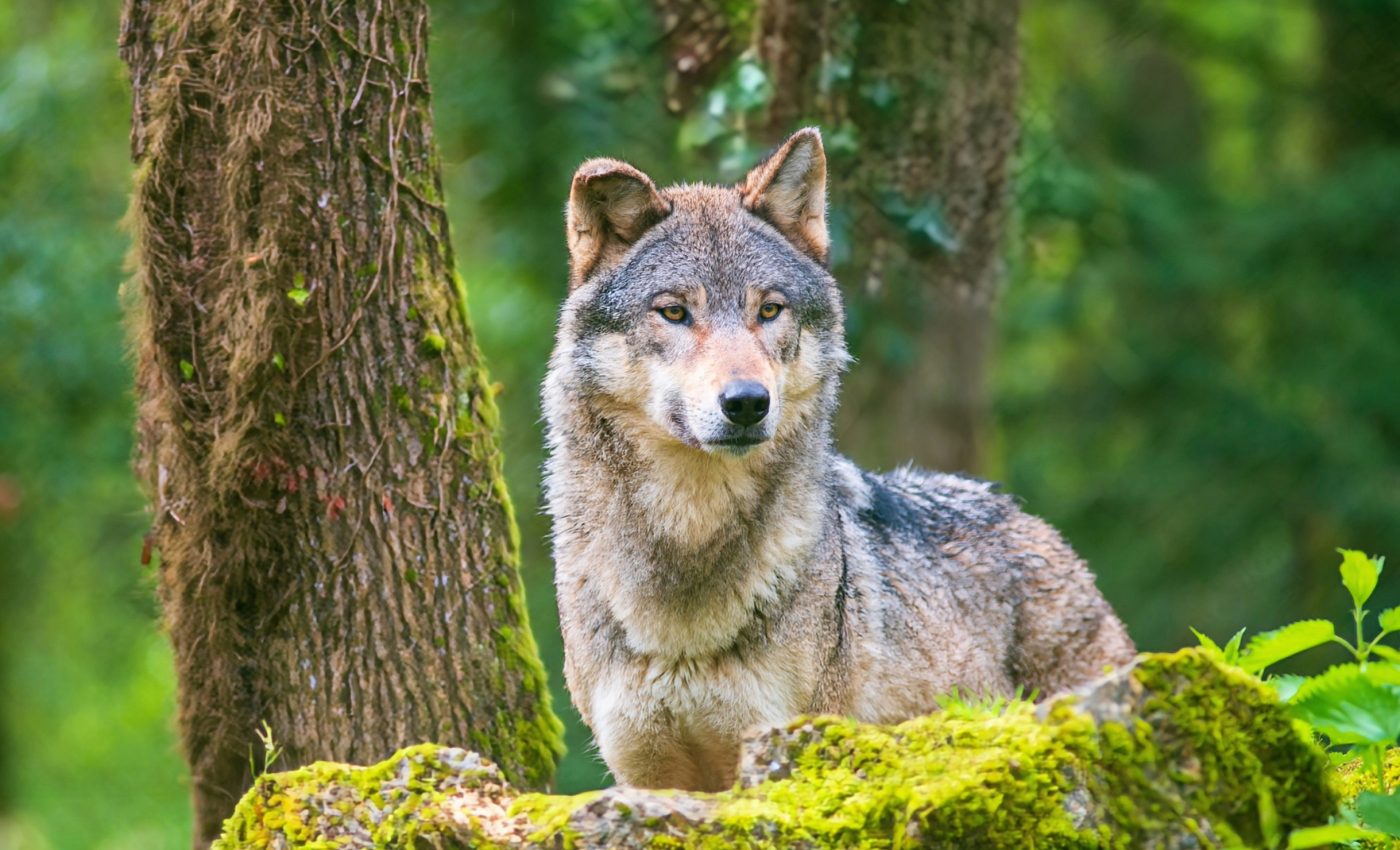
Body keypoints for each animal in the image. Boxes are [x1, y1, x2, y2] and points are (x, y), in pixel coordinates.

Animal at [542, 128, 1135, 792]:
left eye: (769, 310)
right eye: (674, 312)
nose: (747, 403)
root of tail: (1017, 511)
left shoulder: (786, 752)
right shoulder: (646, 778)